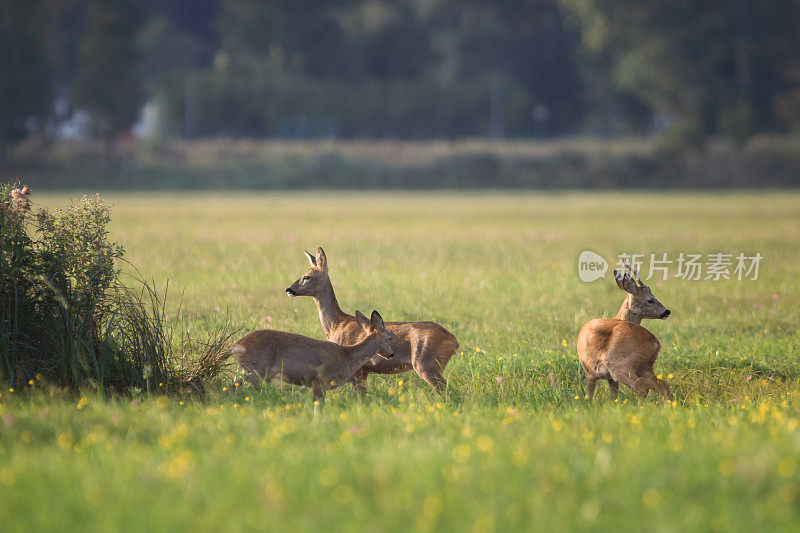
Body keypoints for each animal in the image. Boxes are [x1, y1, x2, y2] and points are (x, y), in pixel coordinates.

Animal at [231, 308, 394, 400]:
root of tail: (236, 346)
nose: (391, 354)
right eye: (389, 338)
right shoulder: (320, 381)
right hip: (255, 370)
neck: (347, 357)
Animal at [286, 247, 460, 392]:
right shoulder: (364, 372)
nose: (289, 289)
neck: (337, 324)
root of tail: (453, 341)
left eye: (307, 276)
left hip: (426, 364)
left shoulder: (357, 370)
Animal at [580, 266, 672, 400]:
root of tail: (655, 343)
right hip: (643, 366)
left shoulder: (591, 372)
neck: (619, 318)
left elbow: (590, 395)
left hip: (619, 364)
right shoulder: (601, 376)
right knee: (663, 386)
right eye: (649, 300)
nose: (666, 312)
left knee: (642, 388)